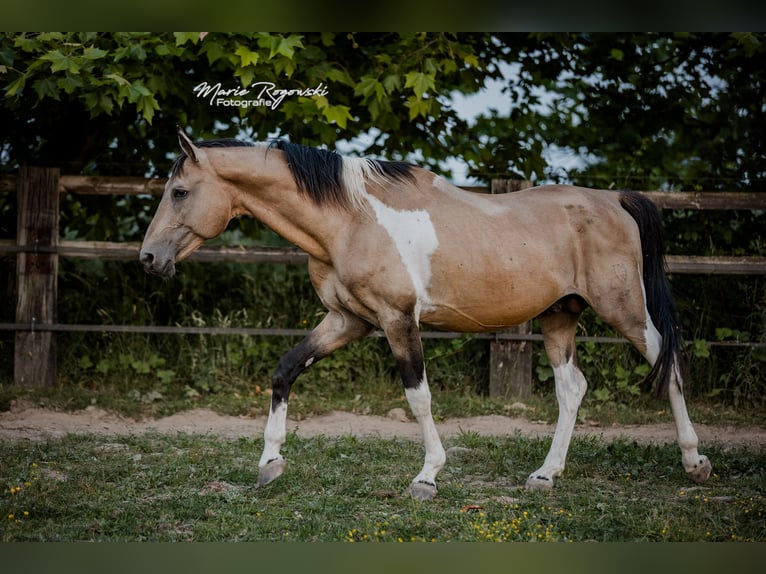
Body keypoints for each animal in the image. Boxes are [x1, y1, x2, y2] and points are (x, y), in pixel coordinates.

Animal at [140, 127, 712, 500]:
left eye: (180, 191)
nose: (148, 259)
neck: (350, 220)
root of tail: (614, 199)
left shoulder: (398, 320)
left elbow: (418, 398)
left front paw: (427, 477)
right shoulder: (347, 321)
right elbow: (284, 371)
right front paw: (269, 463)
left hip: (625, 311)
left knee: (670, 368)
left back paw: (695, 462)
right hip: (558, 318)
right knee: (572, 389)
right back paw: (545, 475)